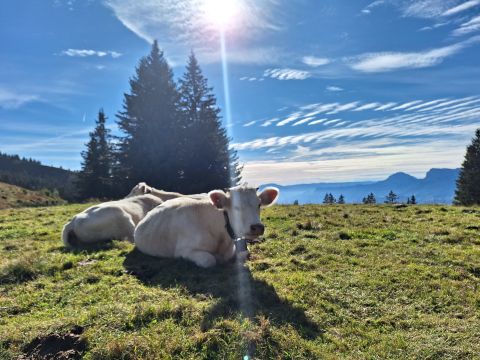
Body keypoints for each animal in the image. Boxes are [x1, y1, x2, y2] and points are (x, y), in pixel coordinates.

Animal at [133, 186, 280, 268]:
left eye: (259, 204)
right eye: (236, 207)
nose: (257, 227)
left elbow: (244, 253)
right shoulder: (183, 250)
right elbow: (209, 260)